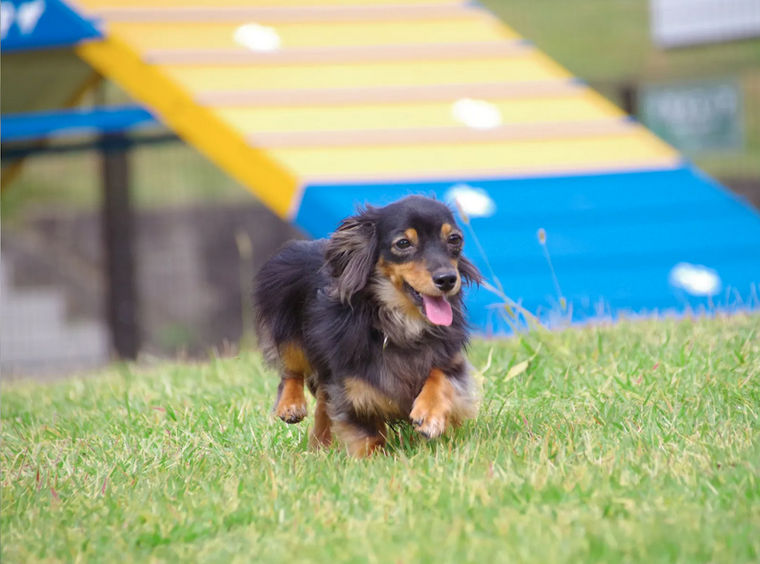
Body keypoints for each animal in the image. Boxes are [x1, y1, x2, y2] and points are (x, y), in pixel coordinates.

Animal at [254, 196, 480, 456]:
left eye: (455, 239)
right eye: (403, 243)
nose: (447, 279)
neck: (402, 323)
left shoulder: (449, 358)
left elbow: (440, 376)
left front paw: (429, 414)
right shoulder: (353, 386)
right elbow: (367, 430)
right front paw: (372, 458)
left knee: (322, 401)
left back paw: (320, 445)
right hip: (288, 329)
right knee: (291, 370)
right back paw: (291, 406)